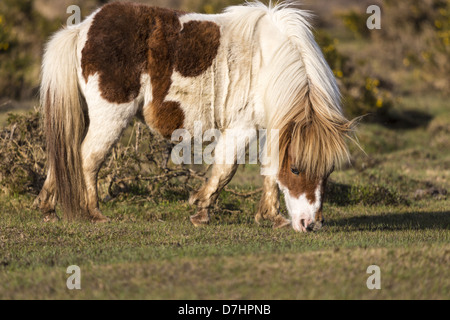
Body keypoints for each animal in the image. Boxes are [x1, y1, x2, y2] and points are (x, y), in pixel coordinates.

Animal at [36, 1, 356, 232]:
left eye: (328, 172)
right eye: (297, 170)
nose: (310, 224)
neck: (269, 63)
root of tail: (83, 28)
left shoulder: (272, 128)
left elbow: (269, 172)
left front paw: (271, 217)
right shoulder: (242, 127)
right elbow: (225, 170)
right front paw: (201, 210)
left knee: (63, 156)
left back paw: (47, 209)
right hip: (111, 116)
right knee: (87, 158)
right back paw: (93, 214)